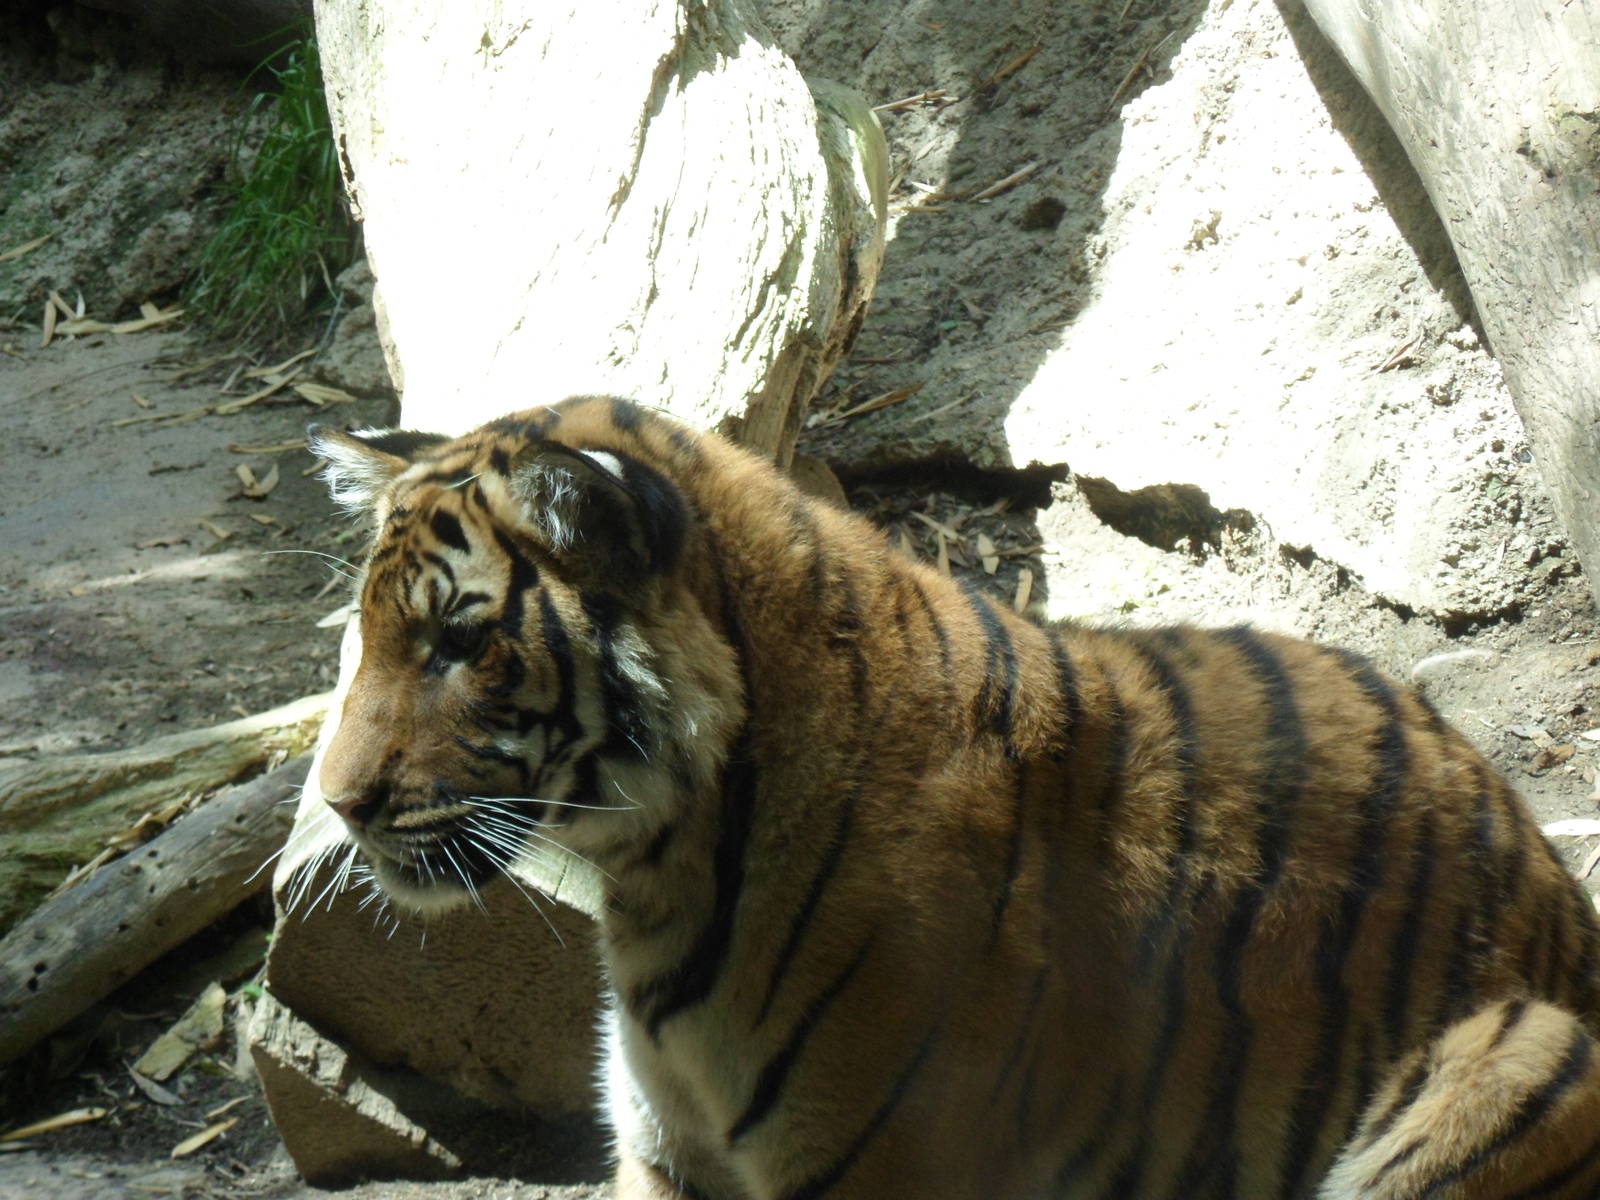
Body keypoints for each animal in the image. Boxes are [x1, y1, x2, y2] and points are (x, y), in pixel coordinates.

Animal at [306, 394, 1600, 1199]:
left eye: (460, 642)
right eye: (364, 634)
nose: (338, 804)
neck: (660, 873)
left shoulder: (880, 1166)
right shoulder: (669, 1155)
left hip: (1517, 1055)